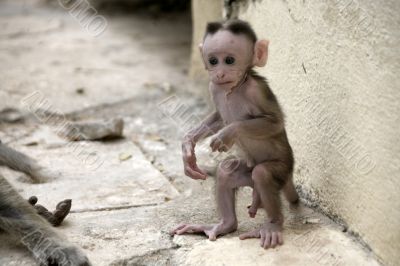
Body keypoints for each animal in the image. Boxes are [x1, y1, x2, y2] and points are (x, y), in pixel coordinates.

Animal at [170, 19, 298, 248]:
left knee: (263, 173)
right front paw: (188, 146)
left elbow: (275, 122)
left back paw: (273, 225)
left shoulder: (257, 90)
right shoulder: (214, 87)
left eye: (229, 60)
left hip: (282, 170)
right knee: (226, 172)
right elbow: (219, 117)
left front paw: (228, 132)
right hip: (247, 172)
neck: (234, 88)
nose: (220, 73)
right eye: (213, 61)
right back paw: (224, 225)